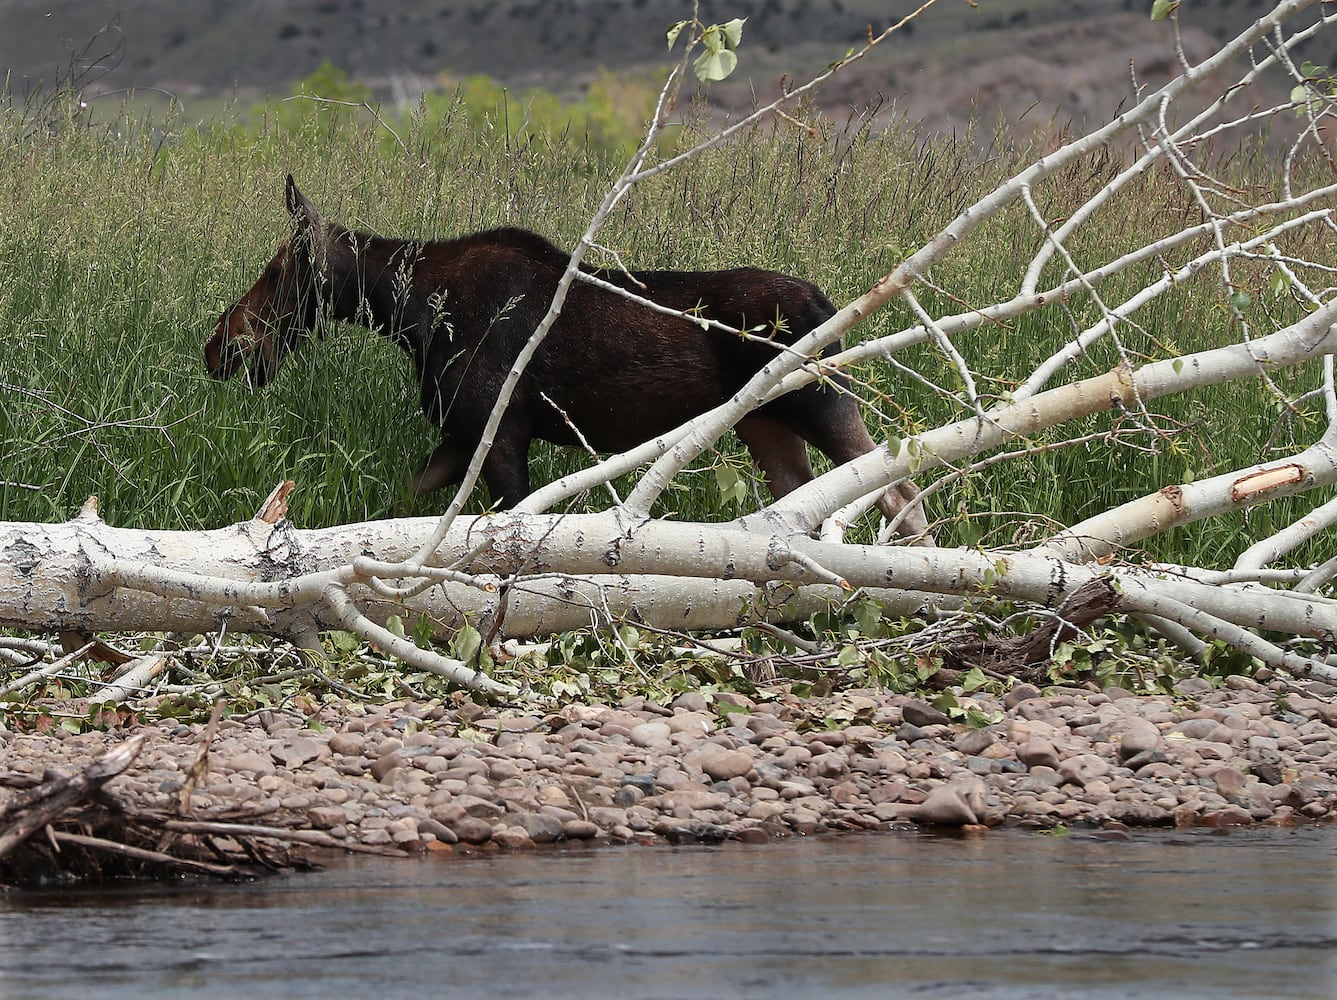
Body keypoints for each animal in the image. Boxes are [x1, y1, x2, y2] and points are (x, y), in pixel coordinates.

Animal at [203, 175, 930, 542]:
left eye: (275, 271)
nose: (219, 347)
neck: (407, 315)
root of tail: (826, 300)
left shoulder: (499, 436)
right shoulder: (459, 435)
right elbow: (400, 510)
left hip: (820, 399)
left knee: (900, 491)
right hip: (766, 423)